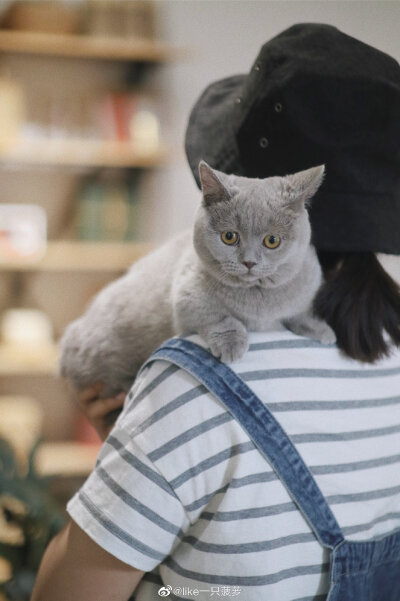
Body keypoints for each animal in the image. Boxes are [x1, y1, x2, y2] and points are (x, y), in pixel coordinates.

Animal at [59, 159, 334, 396]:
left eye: (272, 241)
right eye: (229, 237)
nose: (249, 262)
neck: (259, 301)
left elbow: (299, 311)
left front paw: (321, 330)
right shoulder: (186, 295)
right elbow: (218, 316)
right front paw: (231, 343)